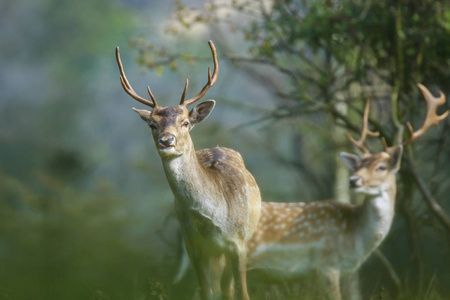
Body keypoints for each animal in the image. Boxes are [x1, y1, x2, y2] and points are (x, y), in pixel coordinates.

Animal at [116, 40, 262, 300]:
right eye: (152, 124)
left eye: (185, 122)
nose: (166, 140)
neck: (213, 219)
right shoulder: (192, 246)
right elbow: (205, 292)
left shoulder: (238, 242)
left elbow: (242, 292)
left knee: (228, 287)